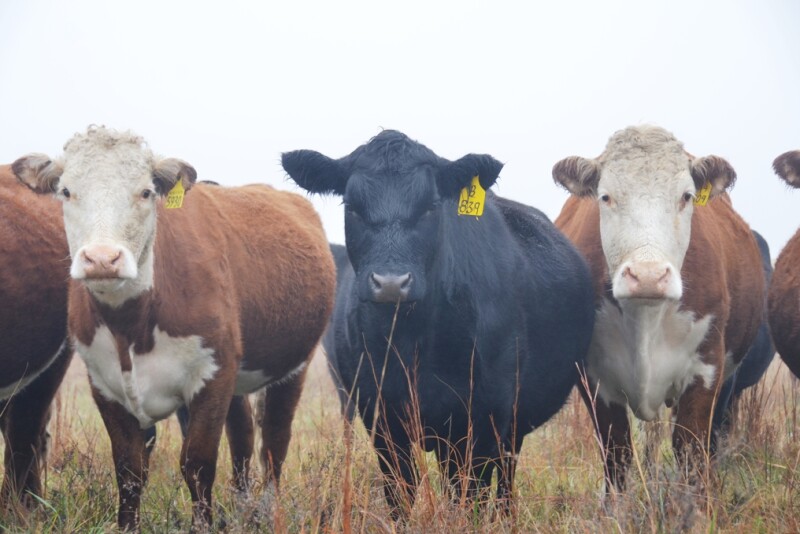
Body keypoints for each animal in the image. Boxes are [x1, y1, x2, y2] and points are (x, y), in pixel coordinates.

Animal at [13, 126, 335, 531]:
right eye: (66, 191)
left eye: (145, 191)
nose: (102, 259)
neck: (132, 327)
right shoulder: (104, 384)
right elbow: (129, 470)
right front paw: (128, 526)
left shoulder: (213, 375)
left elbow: (197, 464)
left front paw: (203, 525)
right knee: (244, 434)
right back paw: (242, 505)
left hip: (295, 364)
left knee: (275, 441)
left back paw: (267, 510)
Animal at [282, 130, 595, 517]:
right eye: (351, 206)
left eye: (430, 205)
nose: (390, 283)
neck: (411, 342)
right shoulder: (380, 418)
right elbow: (400, 493)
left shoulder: (481, 418)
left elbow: (470, 497)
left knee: (504, 478)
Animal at [553, 125, 765, 490]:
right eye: (606, 197)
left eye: (686, 196)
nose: (649, 276)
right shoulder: (593, 379)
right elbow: (617, 454)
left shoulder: (706, 370)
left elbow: (691, 451)